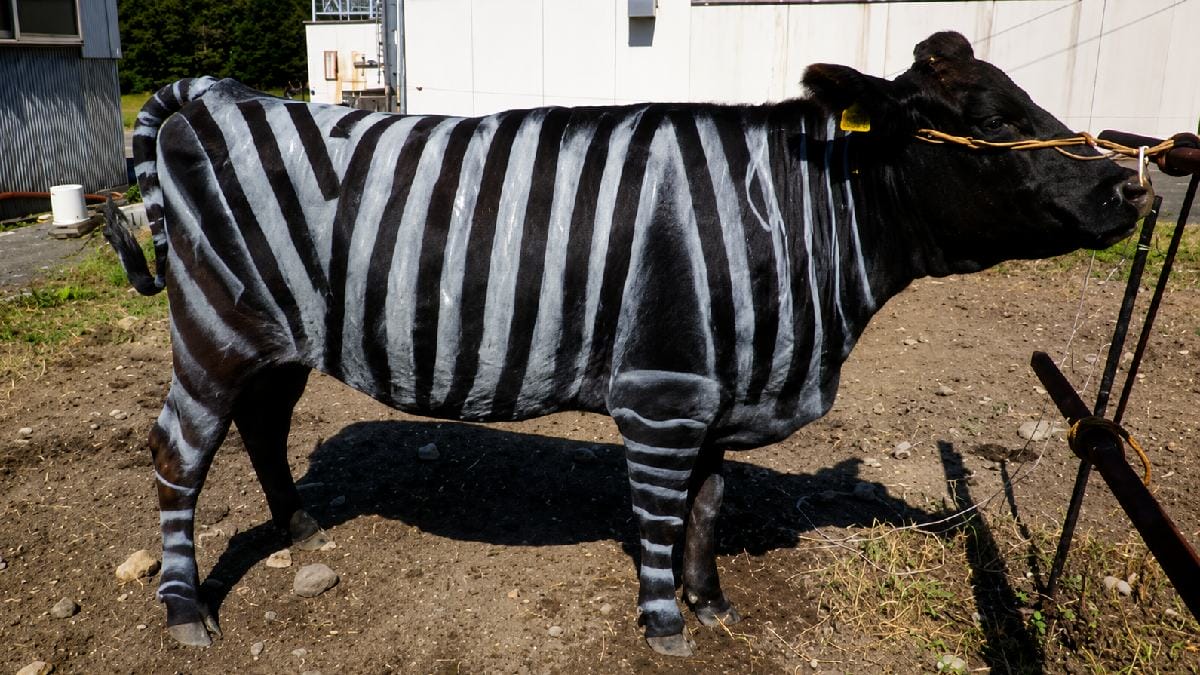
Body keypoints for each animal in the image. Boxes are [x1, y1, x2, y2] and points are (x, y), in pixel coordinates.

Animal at [103, 31, 1147, 656]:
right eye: (986, 122)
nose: (1132, 188)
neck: (792, 220)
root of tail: (215, 94)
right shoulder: (663, 390)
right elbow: (657, 512)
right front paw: (664, 625)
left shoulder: (723, 388)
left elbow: (709, 505)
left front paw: (712, 602)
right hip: (217, 326)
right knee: (179, 451)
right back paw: (187, 610)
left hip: (279, 335)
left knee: (264, 426)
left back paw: (300, 527)